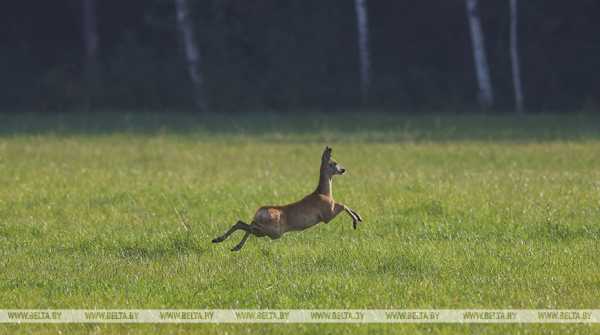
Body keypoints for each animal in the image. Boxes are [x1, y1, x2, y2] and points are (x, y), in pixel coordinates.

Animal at [211, 147, 360, 252]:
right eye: (334, 163)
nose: (343, 170)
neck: (324, 193)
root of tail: (260, 212)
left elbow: (344, 205)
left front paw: (358, 218)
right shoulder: (326, 214)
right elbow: (343, 204)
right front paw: (356, 221)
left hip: (265, 231)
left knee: (242, 223)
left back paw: (222, 241)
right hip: (273, 231)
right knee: (248, 226)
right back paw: (231, 244)